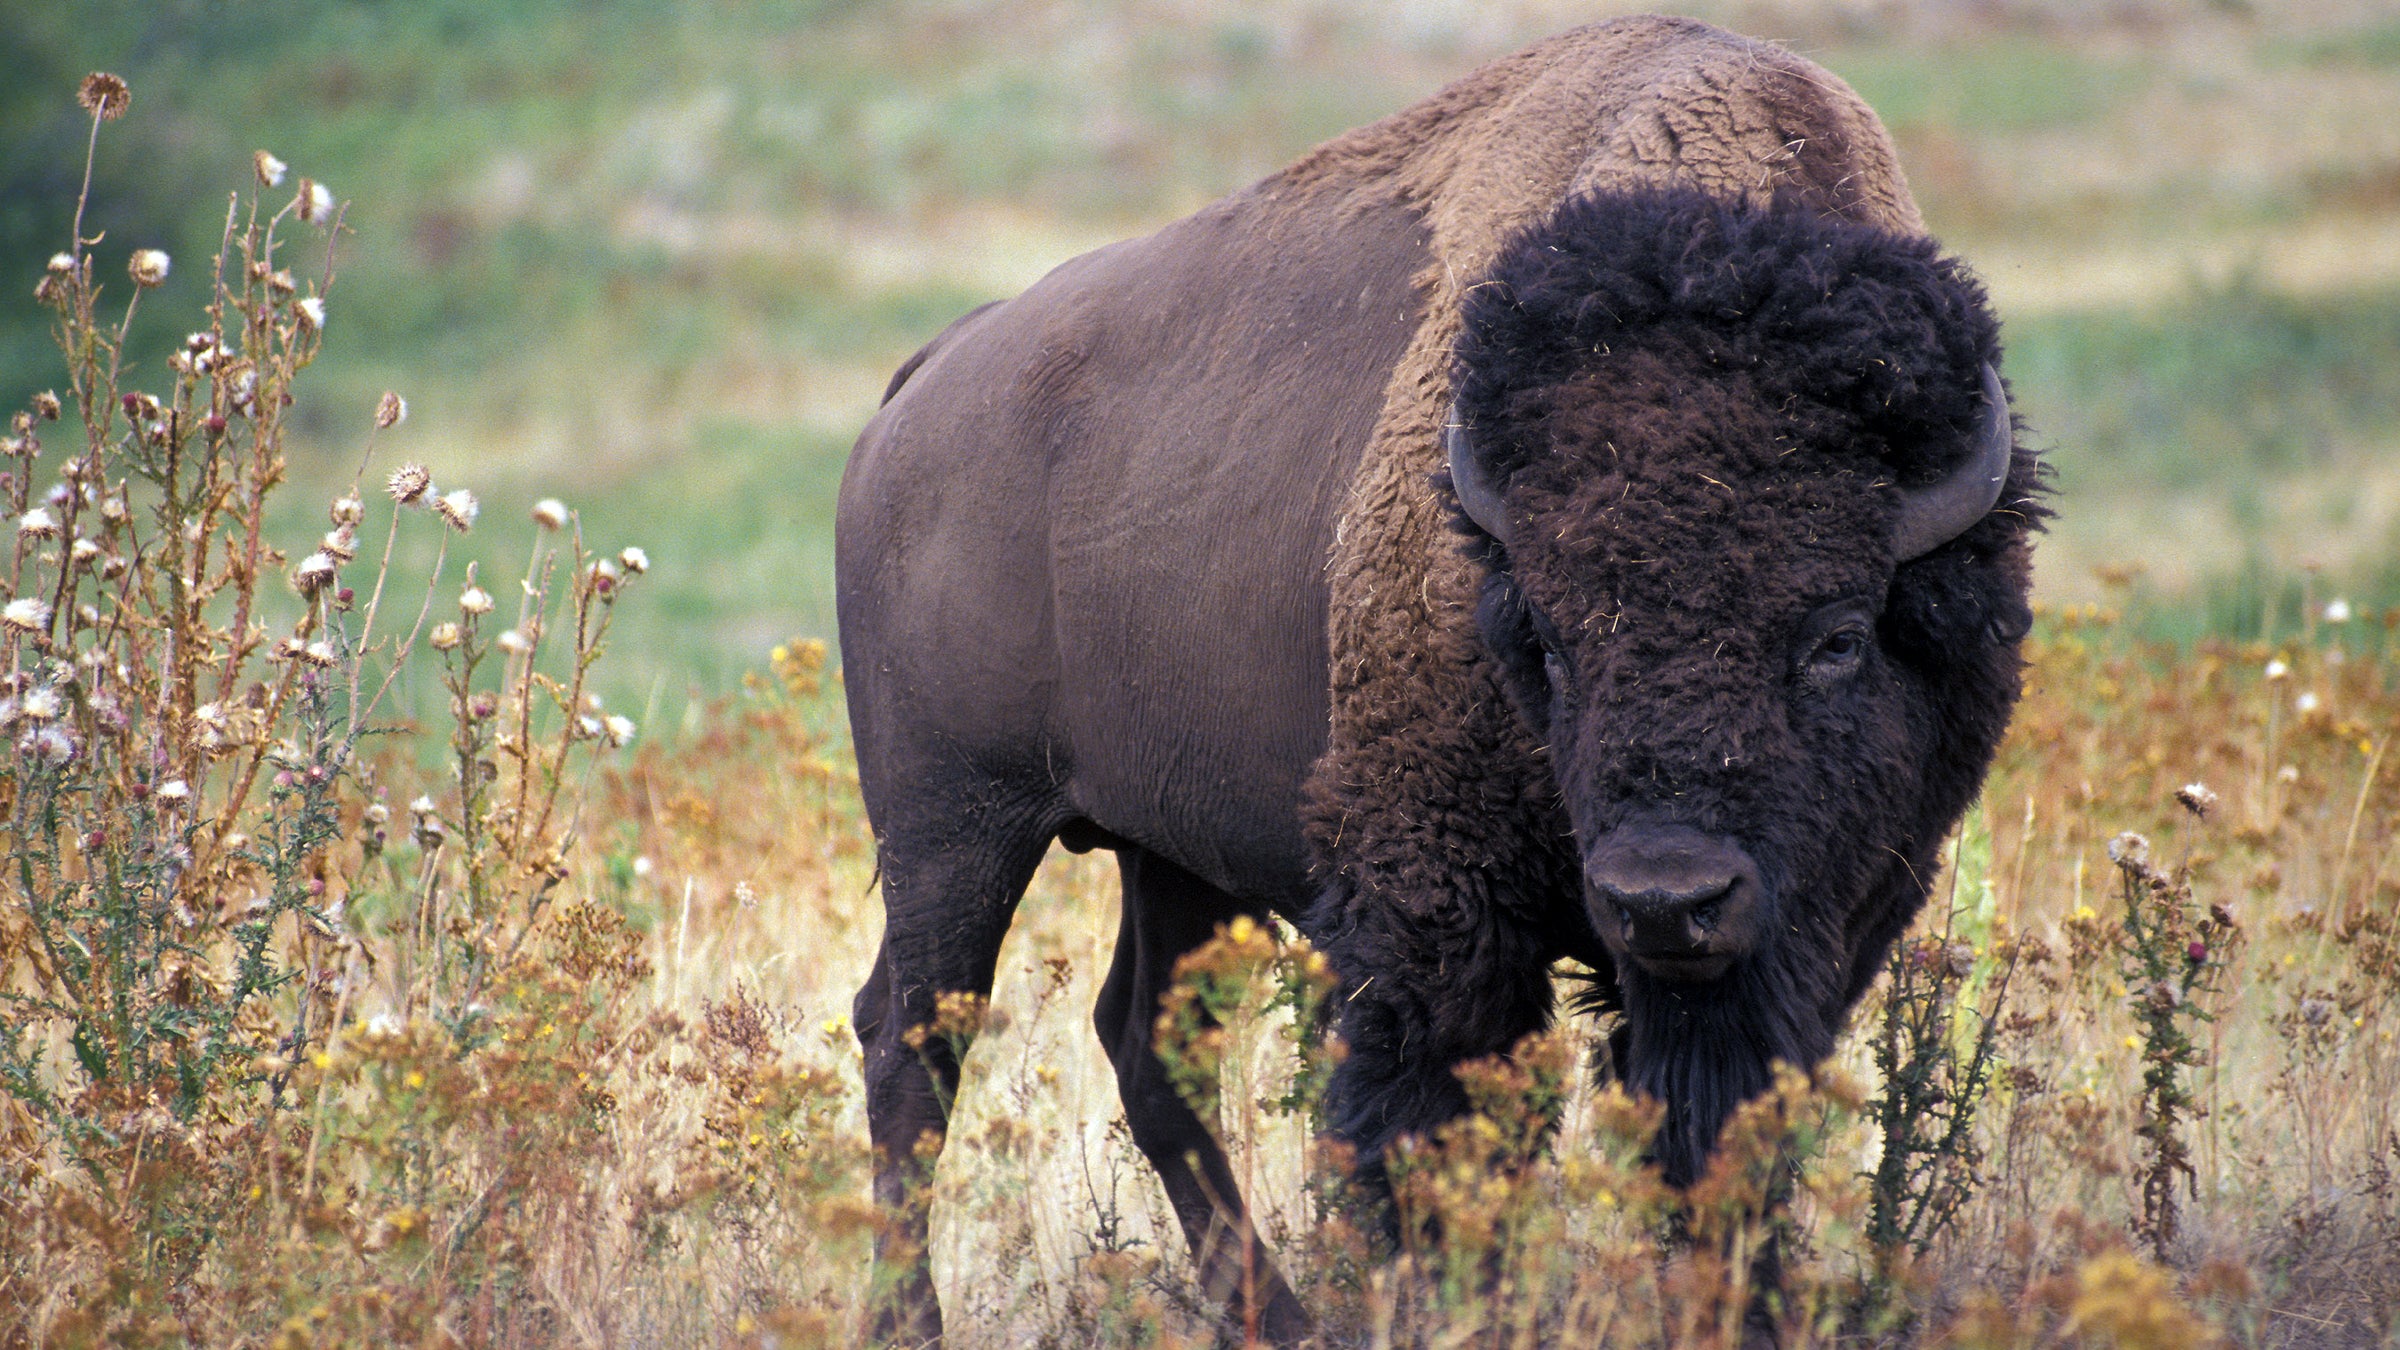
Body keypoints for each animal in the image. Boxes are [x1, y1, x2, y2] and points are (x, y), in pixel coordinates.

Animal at [835, 15, 2041, 1344]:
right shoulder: (1437, 910)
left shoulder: (1822, 925)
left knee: (1144, 1039)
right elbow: (1436, 1134)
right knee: (913, 1041)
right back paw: (914, 1319)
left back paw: (1278, 1317)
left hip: (1168, 848)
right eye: (1549, 641)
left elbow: (1723, 1132)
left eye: (1836, 636)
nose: (1665, 898)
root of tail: (928, 381)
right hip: (954, 827)